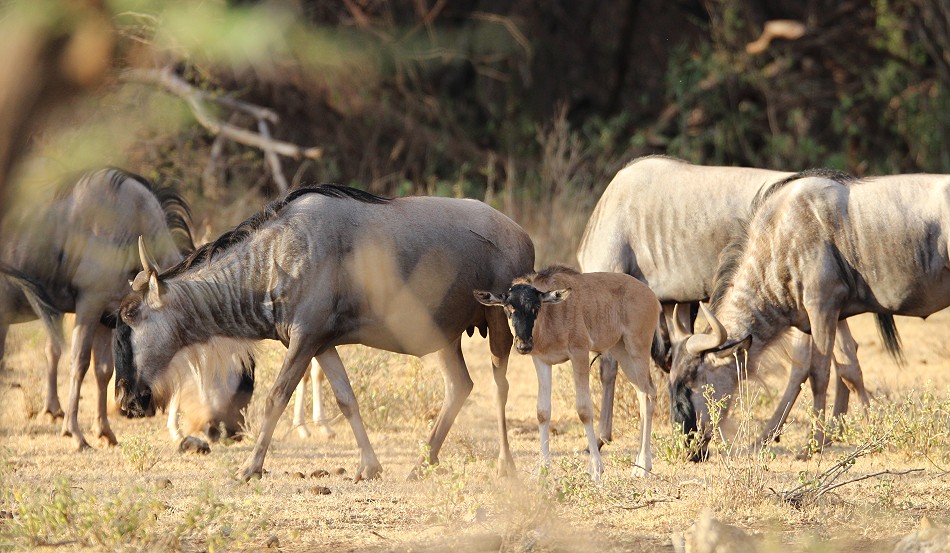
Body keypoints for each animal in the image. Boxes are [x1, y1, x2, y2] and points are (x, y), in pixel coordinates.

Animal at [476, 266, 660, 480]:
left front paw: (596, 468)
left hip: (637, 350)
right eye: (508, 309)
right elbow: (542, 412)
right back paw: (639, 465)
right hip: (622, 351)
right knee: (643, 394)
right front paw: (543, 468)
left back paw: (644, 466)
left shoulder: (579, 354)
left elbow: (584, 409)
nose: (523, 345)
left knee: (648, 394)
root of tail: (650, 296)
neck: (552, 313)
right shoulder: (542, 361)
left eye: (535, 308)